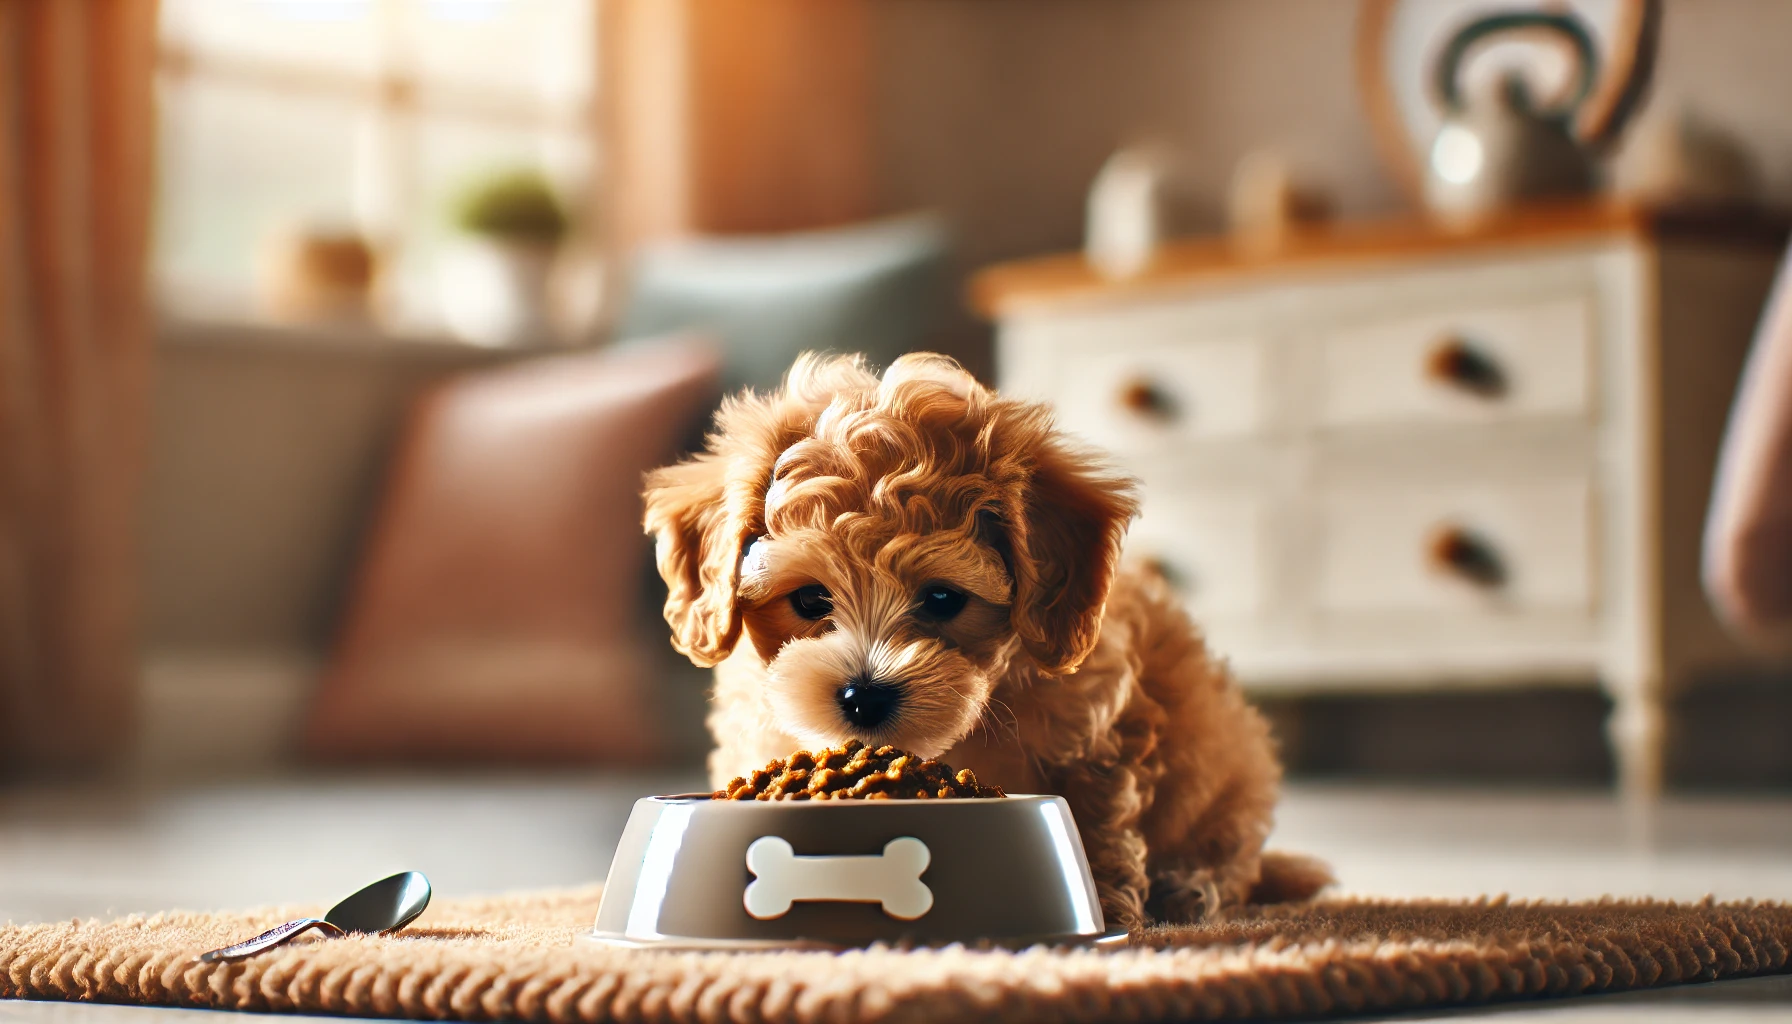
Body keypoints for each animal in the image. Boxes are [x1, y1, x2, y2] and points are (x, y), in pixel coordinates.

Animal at [641, 353, 1318, 932]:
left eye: (943, 599)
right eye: (810, 600)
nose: (863, 697)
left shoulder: (1094, 729)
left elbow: (1094, 810)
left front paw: (1101, 900)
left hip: (1234, 782)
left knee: (1231, 859)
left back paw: (1190, 888)